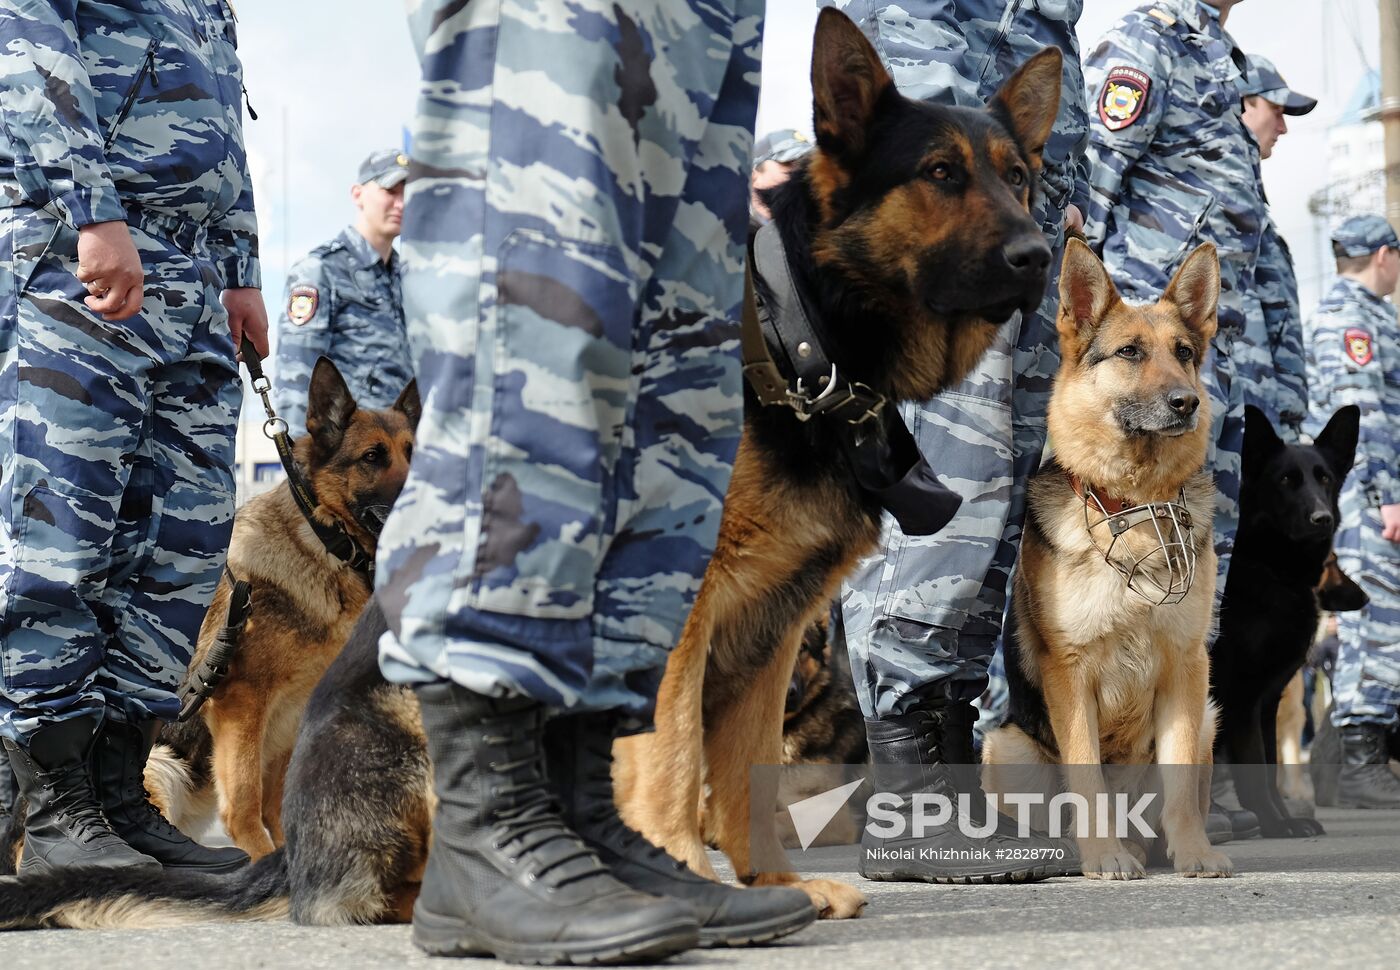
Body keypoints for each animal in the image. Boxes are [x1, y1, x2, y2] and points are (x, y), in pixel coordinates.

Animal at [151, 361, 420, 856]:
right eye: (373, 457)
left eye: (414, 453)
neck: (327, 539)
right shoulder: (241, 704)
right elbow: (244, 807)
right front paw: (260, 859)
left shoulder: (289, 718)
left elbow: (275, 807)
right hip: (161, 764)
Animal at [613, 9, 1058, 918]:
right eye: (939, 173)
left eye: (1018, 179)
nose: (1040, 256)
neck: (799, 342)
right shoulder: (685, 610)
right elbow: (674, 758)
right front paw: (687, 879)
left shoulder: (772, 628)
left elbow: (745, 773)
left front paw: (777, 885)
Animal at [980, 240, 1232, 879]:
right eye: (1129, 353)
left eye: (1185, 354)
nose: (1187, 402)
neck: (1133, 508)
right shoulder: (1069, 673)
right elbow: (1086, 776)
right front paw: (1102, 855)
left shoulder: (1187, 668)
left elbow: (1178, 786)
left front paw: (1194, 851)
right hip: (1006, 746)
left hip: (1209, 716)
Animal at [1209, 405, 1360, 834]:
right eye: (1286, 481)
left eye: (1324, 478)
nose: (1322, 519)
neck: (1271, 569)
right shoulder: (1242, 695)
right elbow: (1254, 767)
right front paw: (1275, 824)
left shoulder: (1267, 700)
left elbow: (1270, 766)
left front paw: (1283, 818)